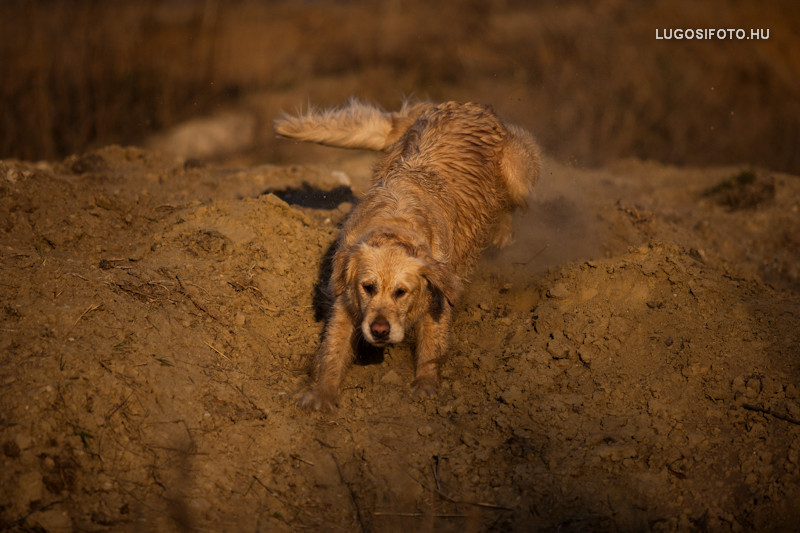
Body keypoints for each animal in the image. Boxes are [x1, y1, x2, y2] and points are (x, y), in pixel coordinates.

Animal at [272, 100, 540, 410]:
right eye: (368, 287)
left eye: (402, 292)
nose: (379, 330)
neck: (394, 226)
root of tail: (458, 105)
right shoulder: (345, 301)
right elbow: (333, 349)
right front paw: (321, 394)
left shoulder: (437, 298)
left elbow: (431, 348)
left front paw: (425, 387)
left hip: (517, 176)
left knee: (510, 204)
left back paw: (502, 235)